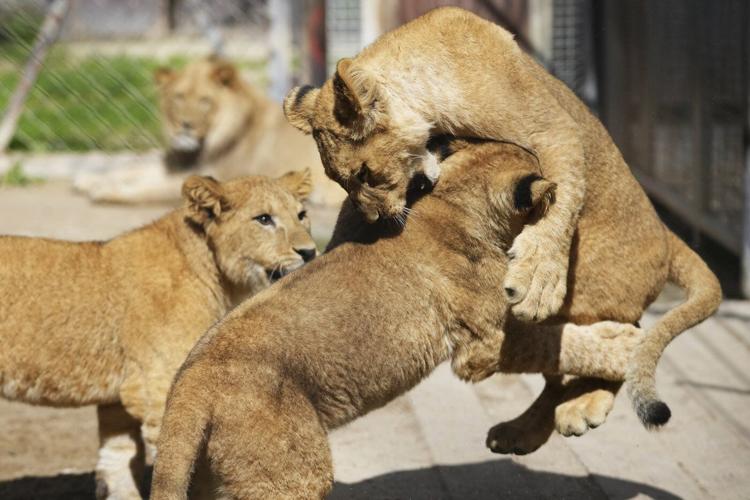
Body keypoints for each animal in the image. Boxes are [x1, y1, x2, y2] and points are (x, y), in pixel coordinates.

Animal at [0, 170, 316, 499]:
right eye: (264, 219)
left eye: (301, 215)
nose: (310, 252)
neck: (214, 270)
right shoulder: (159, 385)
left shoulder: (119, 399)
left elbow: (117, 462)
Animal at [74, 57, 344, 208]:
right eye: (178, 97)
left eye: (205, 101)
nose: (185, 125)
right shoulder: (178, 165)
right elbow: (132, 169)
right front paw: (88, 180)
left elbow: (148, 189)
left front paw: (105, 191)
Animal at [149, 142, 649, 500]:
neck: (452, 203)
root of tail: (189, 387)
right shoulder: (484, 345)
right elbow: (558, 341)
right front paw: (622, 342)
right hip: (290, 476)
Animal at [283, 7, 722, 429]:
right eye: (340, 180)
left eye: (364, 174)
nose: (376, 217)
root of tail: (667, 235)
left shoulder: (553, 129)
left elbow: (563, 196)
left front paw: (538, 280)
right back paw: (518, 433)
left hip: (591, 293)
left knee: (614, 337)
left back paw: (582, 405)